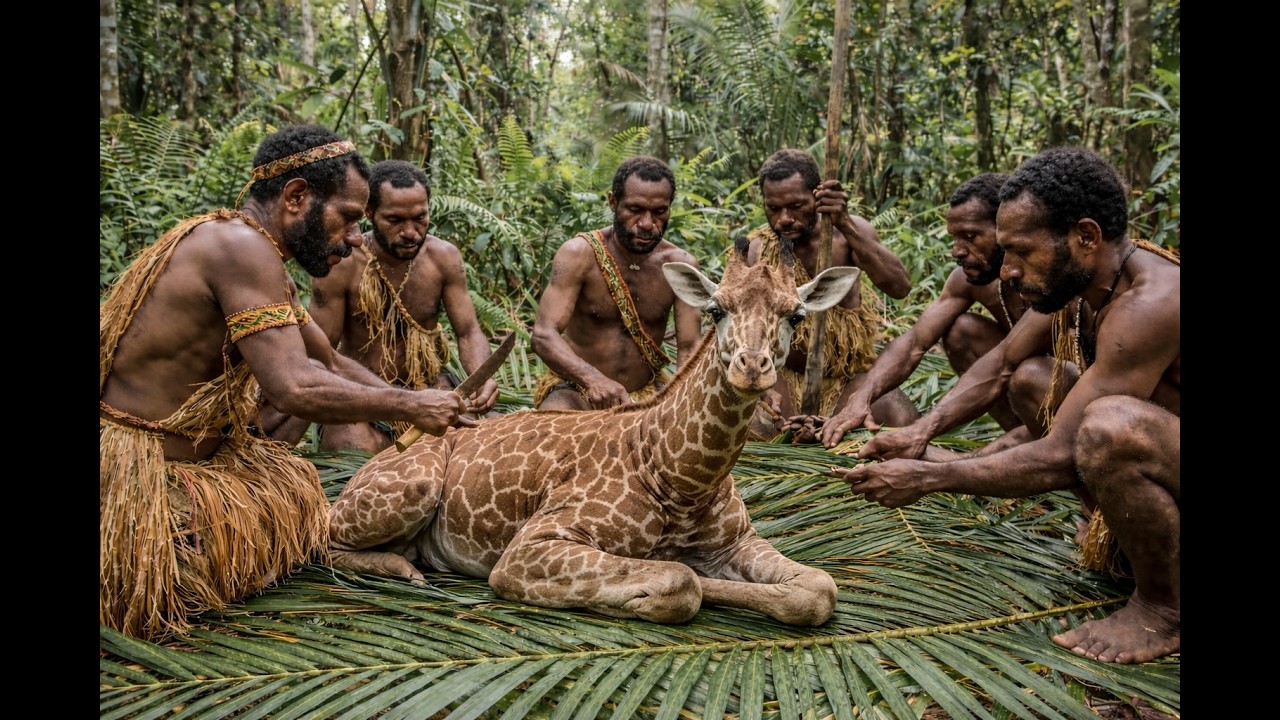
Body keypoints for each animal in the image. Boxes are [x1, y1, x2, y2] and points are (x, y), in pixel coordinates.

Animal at [327, 236, 861, 626]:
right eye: (716, 309)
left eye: (795, 315)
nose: (752, 368)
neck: (679, 478)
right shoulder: (527, 549)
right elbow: (681, 580)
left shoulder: (736, 541)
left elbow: (819, 589)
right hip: (410, 486)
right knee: (324, 539)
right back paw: (404, 568)